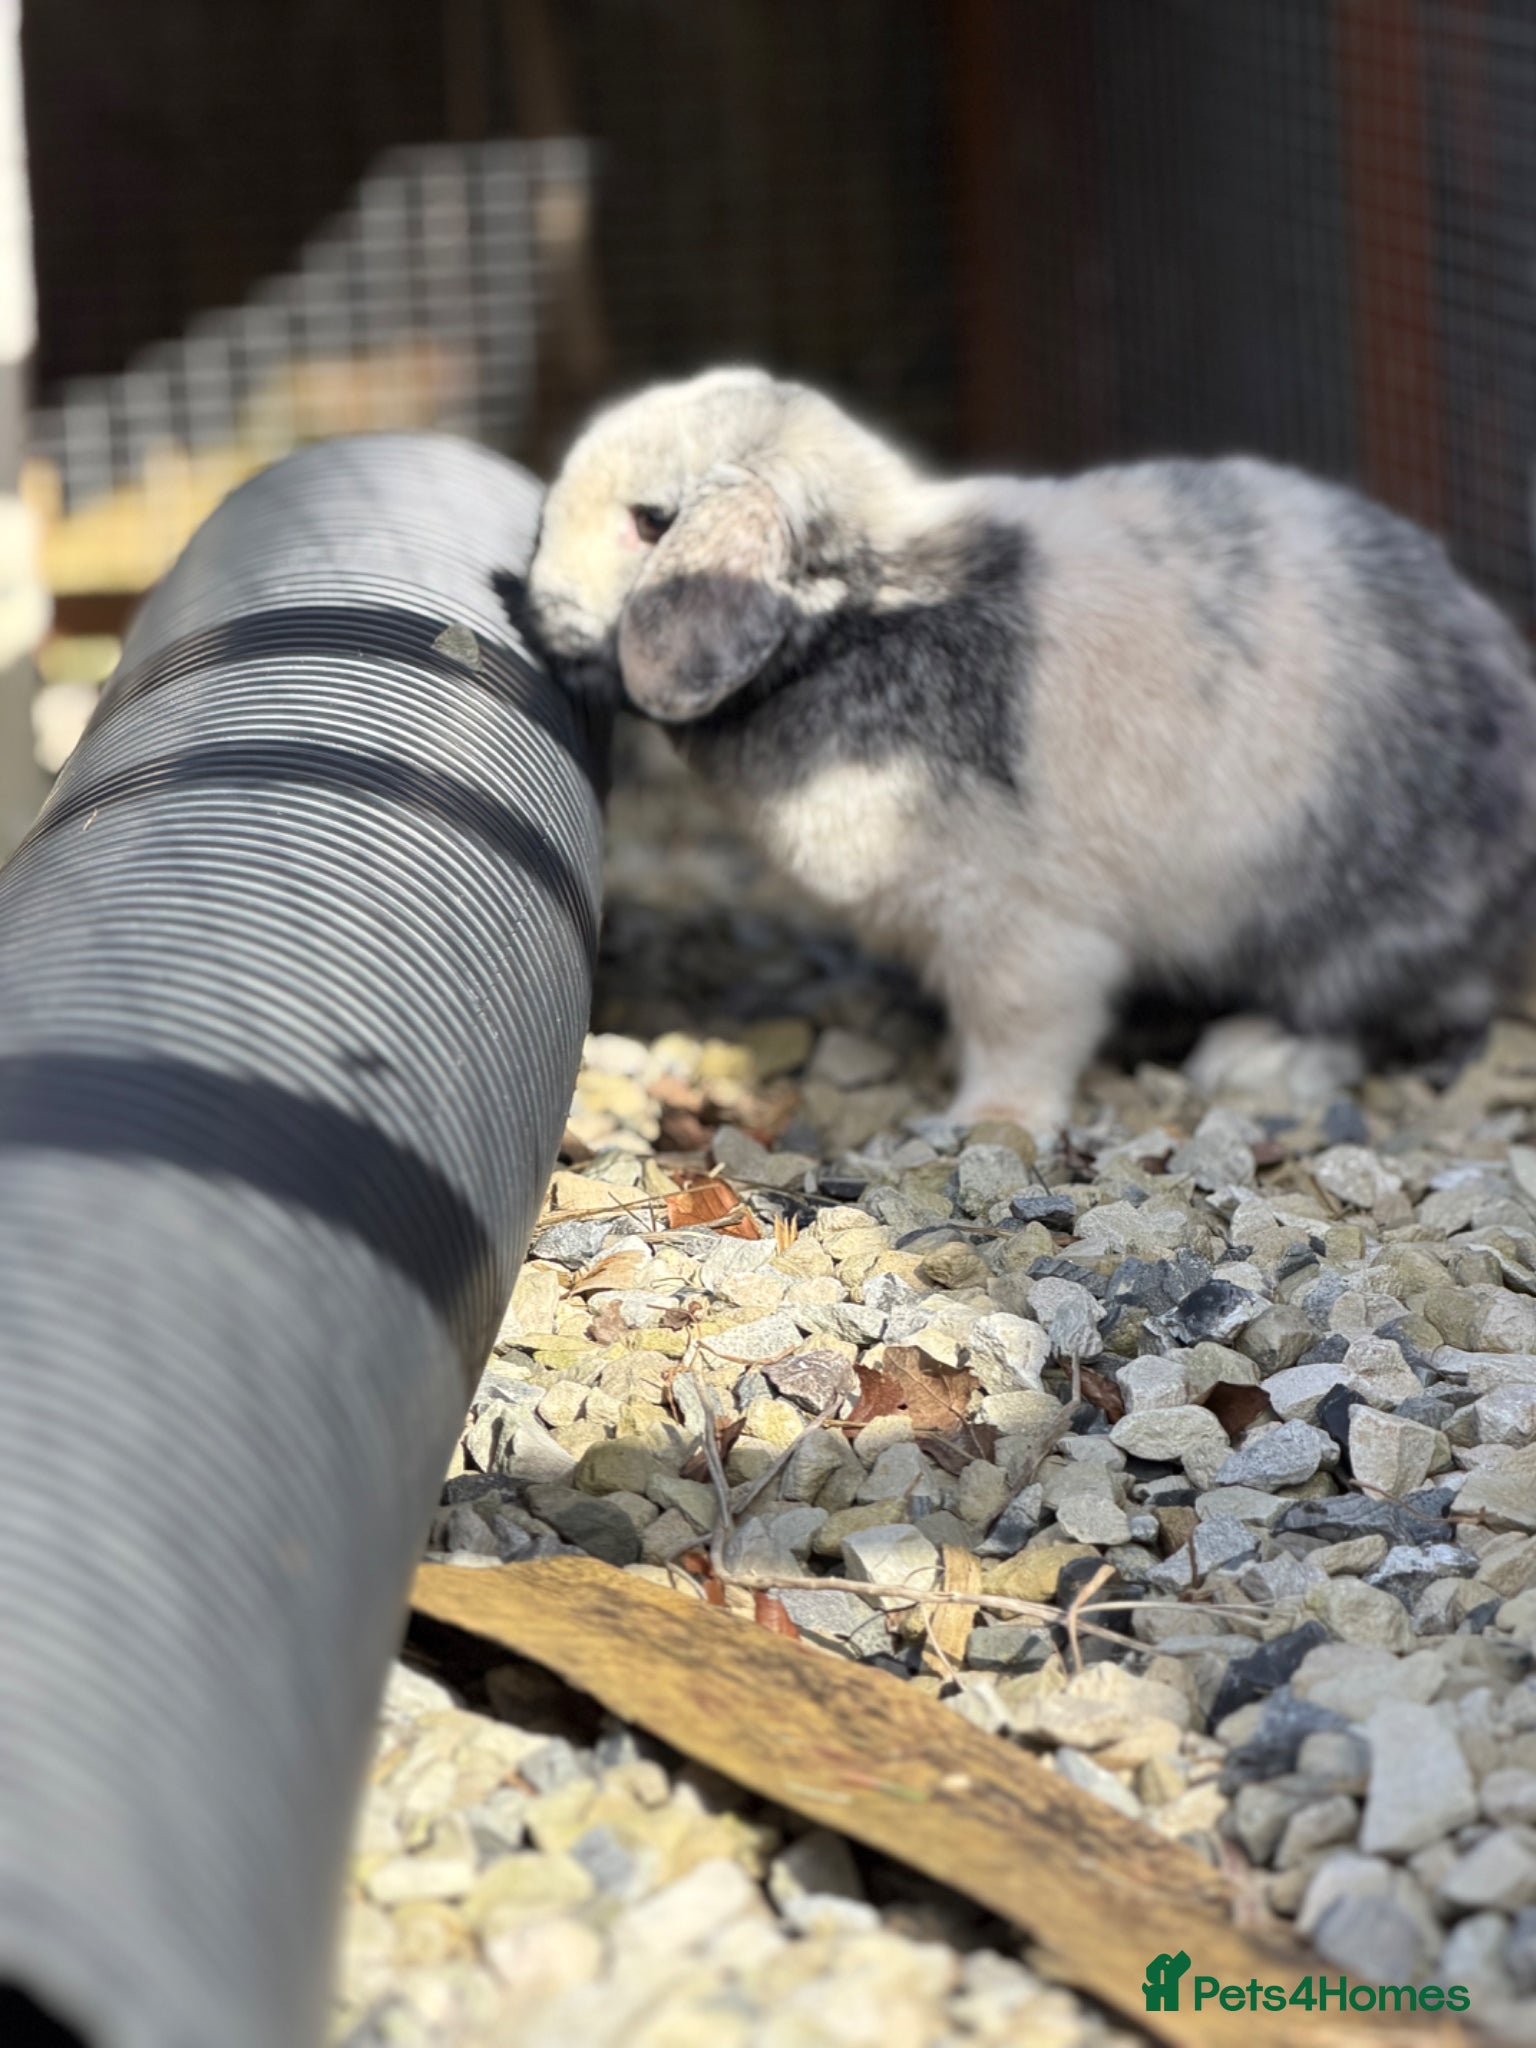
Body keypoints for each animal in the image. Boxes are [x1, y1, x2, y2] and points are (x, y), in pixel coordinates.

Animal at [521, 365, 1536, 1139]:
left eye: (651, 522)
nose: (534, 604)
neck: (860, 614)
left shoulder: (1023, 930)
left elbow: (1021, 1034)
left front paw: (986, 1123)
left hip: (1356, 925)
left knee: (1388, 1015)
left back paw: (1255, 1059)